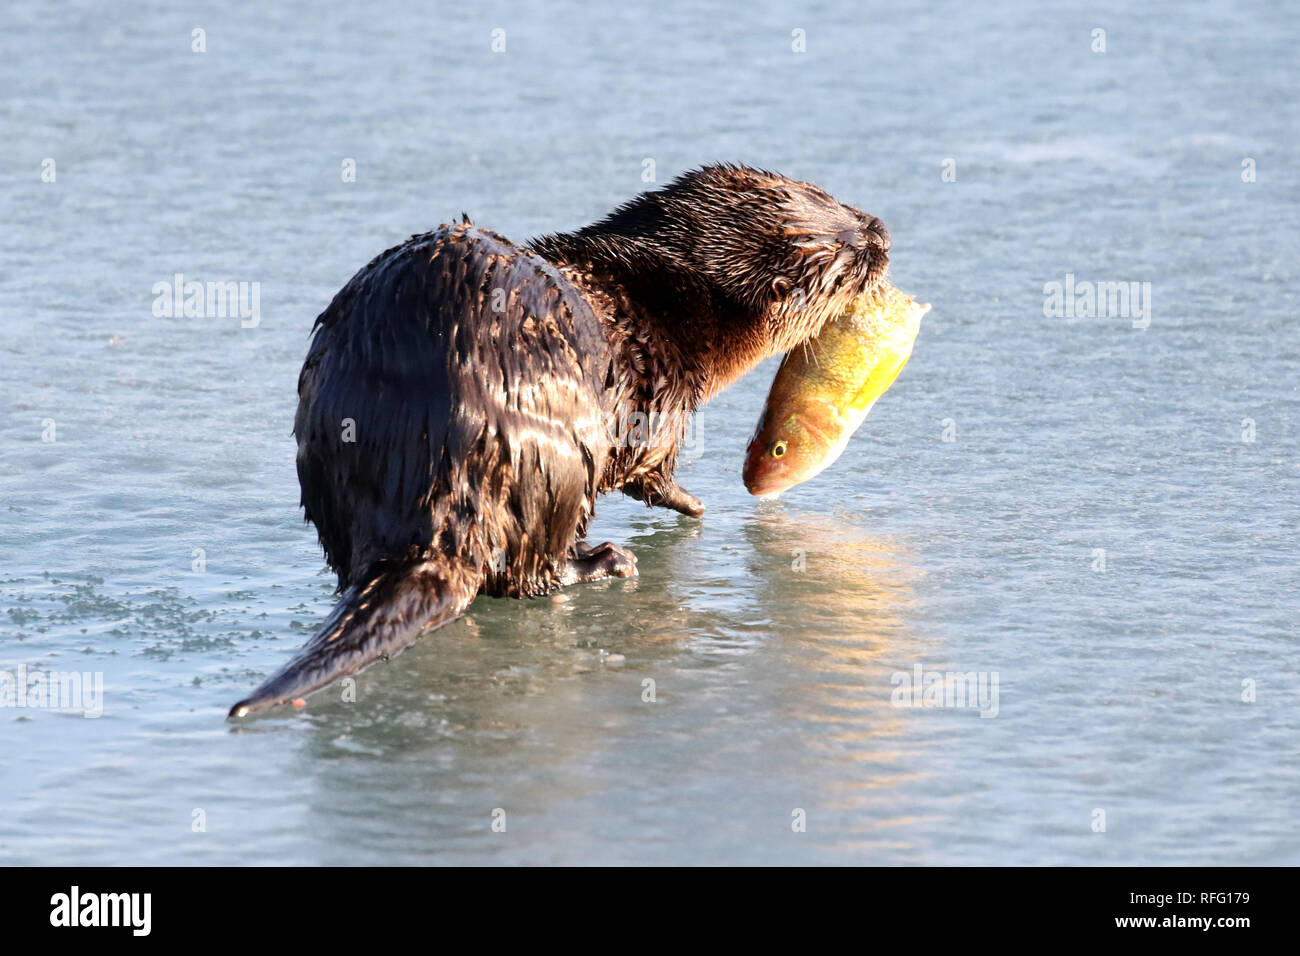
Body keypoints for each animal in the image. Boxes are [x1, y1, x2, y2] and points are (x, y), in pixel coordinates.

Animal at [229, 164, 890, 717]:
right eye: (846, 261)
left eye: (830, 195)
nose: (881, 231)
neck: (664, 302)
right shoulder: (658, 394)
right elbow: (651, 470)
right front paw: (695, 504)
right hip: (559, 463)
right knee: (528, 573)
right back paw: (604, 560)